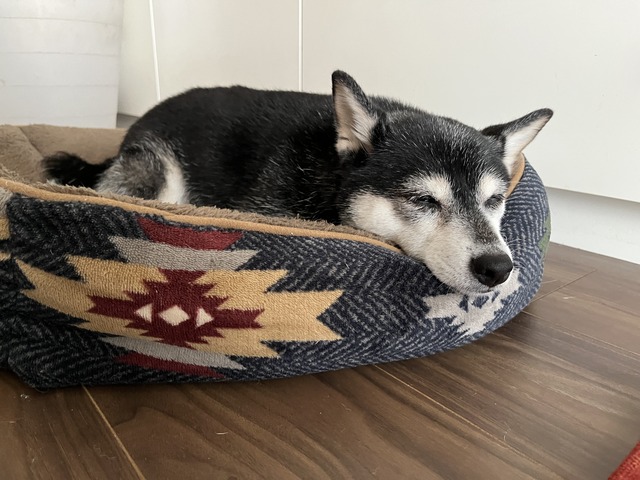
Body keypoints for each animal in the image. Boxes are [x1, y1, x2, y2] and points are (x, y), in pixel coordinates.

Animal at [44, 70, 552, 294]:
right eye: (422, 200)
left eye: (494, 200)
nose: (497, 267)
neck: (328, 173)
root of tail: (133, 126)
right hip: (160, 173)